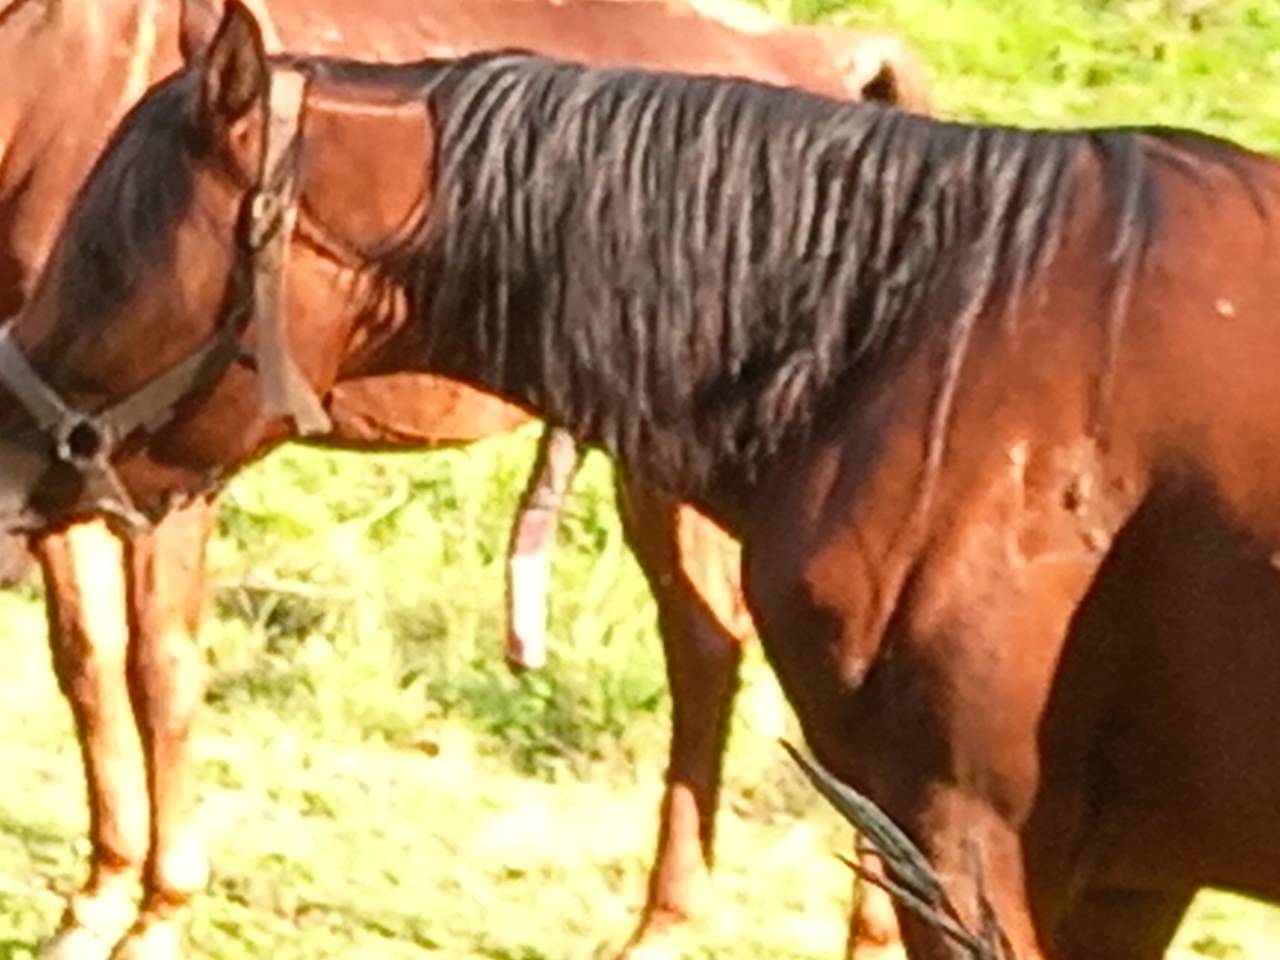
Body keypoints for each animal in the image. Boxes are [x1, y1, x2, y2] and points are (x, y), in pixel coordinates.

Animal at [12, 5, 1280, 956]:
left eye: (109, 244)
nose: (11, 444)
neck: (953, 330)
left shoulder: (975, 837)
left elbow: (155, 666)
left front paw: (147, 914)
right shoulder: (1116, 876)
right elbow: (94, 664)